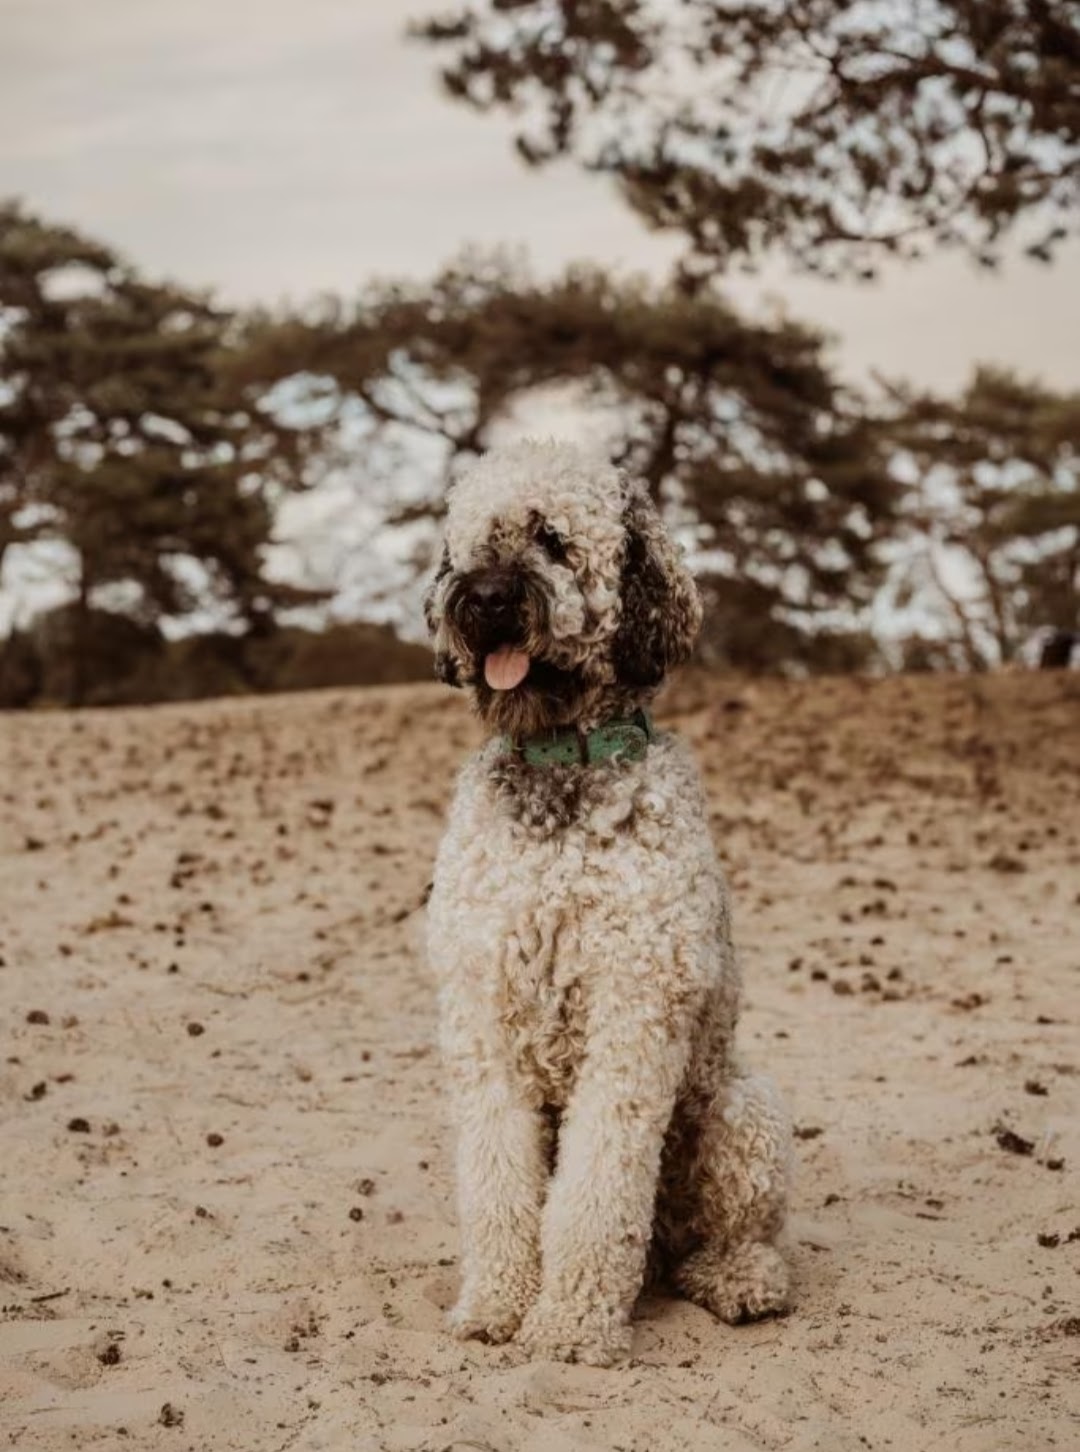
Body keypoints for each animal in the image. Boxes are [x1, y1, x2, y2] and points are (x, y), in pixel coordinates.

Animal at [423, 435, 795, 1364]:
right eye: (473, 542)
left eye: (553, 539)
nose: (484, 600)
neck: (562, 759)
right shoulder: (484, 1018)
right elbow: (500, 1184)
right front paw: (497, 1304)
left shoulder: (634, 1015)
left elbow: (597, 1193)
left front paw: (570, 1324)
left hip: (741, 1109)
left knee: (724, 1235)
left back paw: (738, 1278)